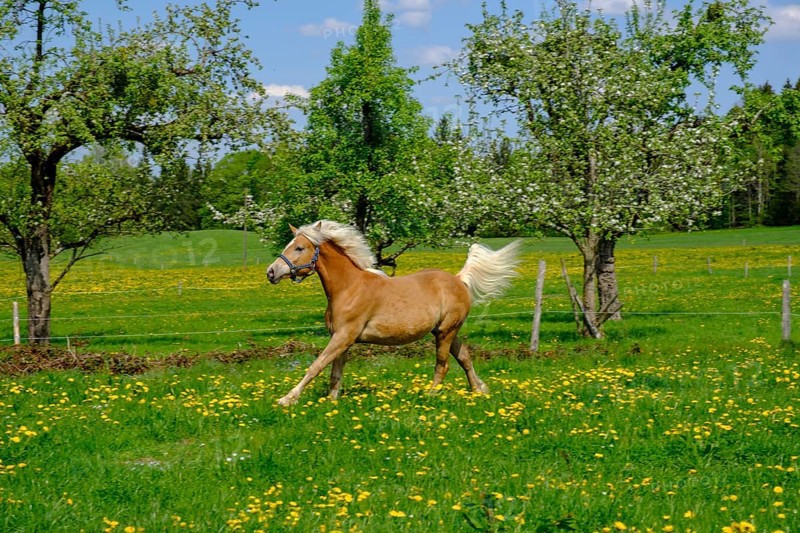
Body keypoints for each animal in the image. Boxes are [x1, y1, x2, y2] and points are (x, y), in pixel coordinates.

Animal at [266, 220, 521, 406]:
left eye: (299, 247)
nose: (271, 272)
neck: (349, 288)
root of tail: (459, 279)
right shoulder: (341, 339)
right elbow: (335, 373)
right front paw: (331, 403)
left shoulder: (344, 337)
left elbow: (316, 366)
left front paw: (286, 399)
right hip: (446, 331)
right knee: (465, 358)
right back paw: (480, 390)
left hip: (446, 333)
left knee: (443, 365)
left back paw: (429, 397)